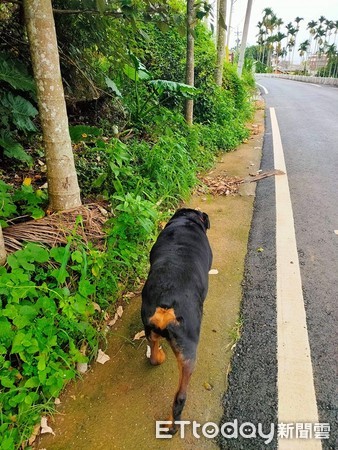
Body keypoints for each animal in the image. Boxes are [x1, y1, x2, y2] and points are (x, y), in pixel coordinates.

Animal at [141, 207, 213, 432]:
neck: (186, 221)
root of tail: (167, 302)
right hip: (189, 351)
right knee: (180, 396)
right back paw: (173, 425)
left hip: (149, 326)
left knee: (154, 353)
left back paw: (159, 357)